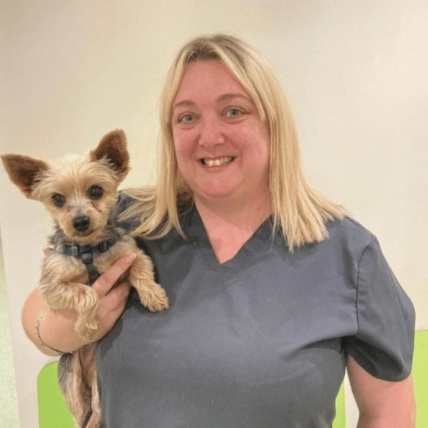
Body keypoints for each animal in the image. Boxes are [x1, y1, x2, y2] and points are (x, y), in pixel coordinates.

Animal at [1, 129, 169, 426]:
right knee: (80, 415)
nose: (80, 222)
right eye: (57, 198)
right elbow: (88, 292)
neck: (89, 249)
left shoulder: (131, 253)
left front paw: (154, 296)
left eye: (96, 190)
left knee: (97, 413)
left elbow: (141, 271)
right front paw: (87, 326)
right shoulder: (52, 285)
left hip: (98, 388)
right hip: (72, 384)